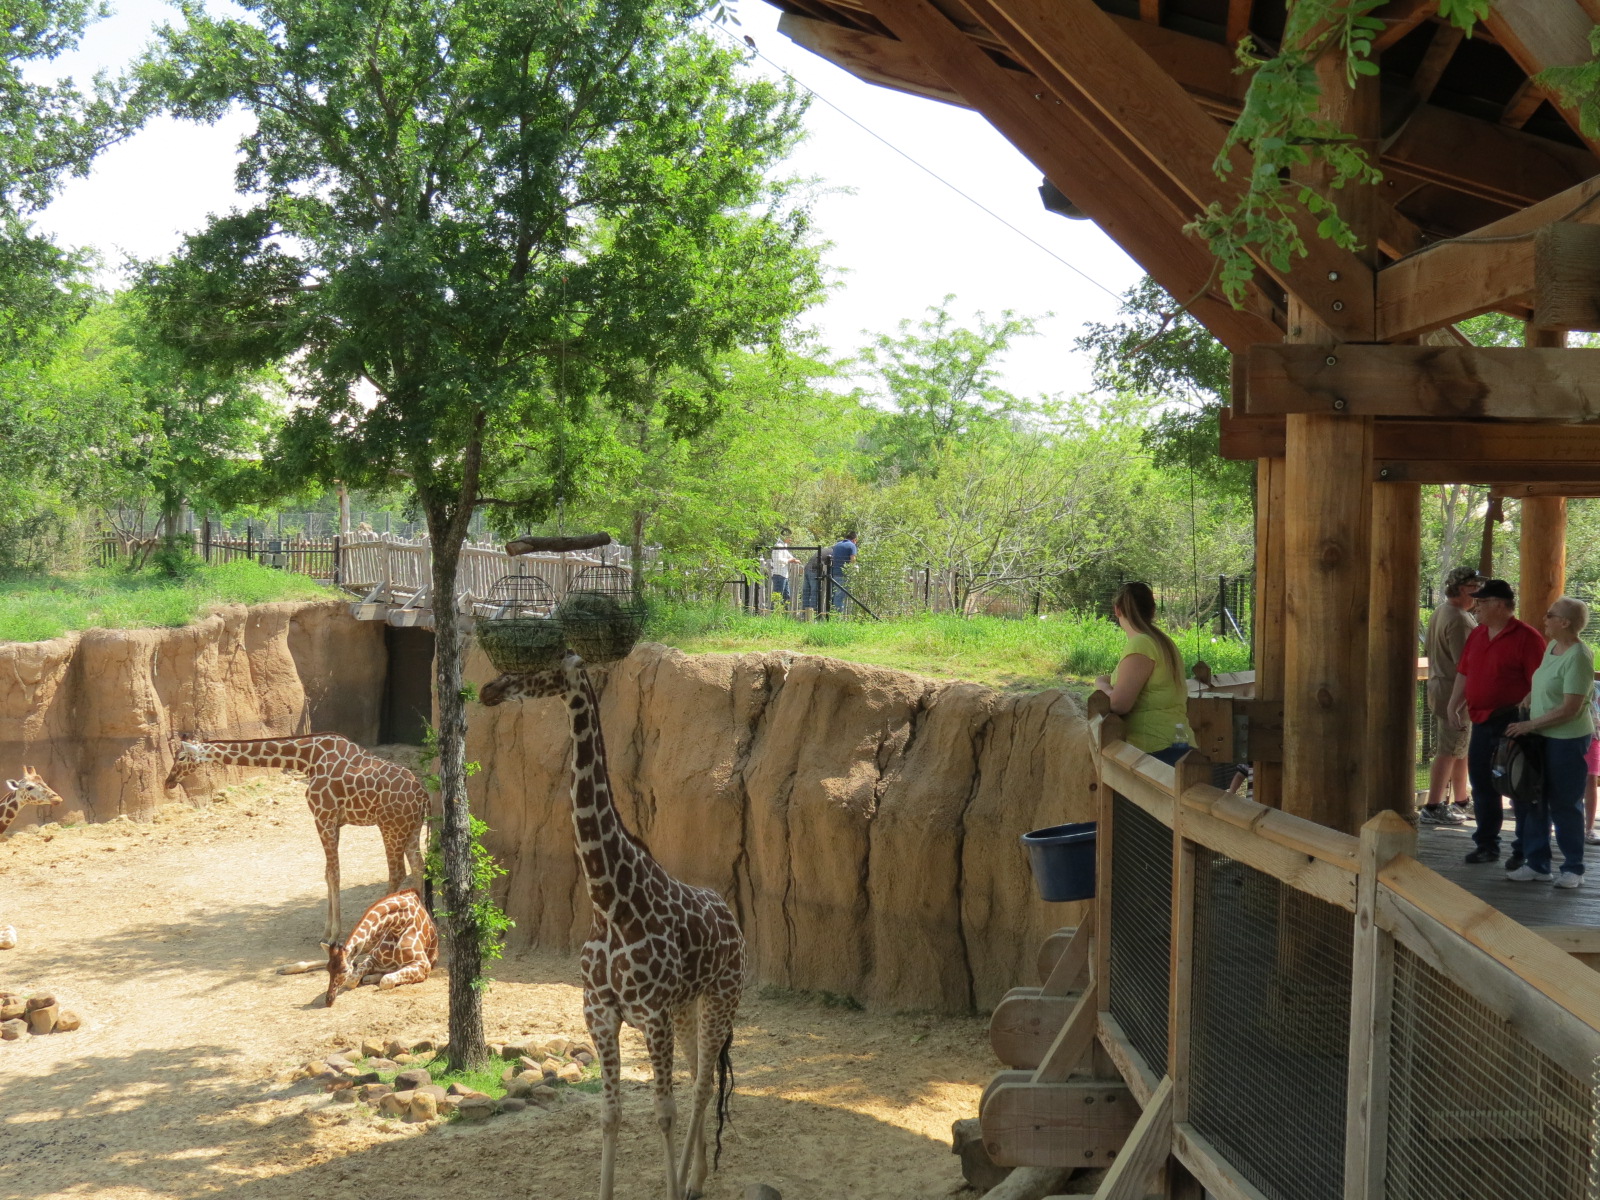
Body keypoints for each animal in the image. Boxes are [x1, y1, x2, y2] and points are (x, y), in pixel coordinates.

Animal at [165, 734, 429, 942]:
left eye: (181, 757)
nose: (168, 782)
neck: (307, 758)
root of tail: (423, 794)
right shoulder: (333, 822)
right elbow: (327, 874)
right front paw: (326, 932)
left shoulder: (323, 817)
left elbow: (334, 874)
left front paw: (333, 935)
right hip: (412, 827)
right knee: (418, 865)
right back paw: (419, 921)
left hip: (390, 826)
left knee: (397, 872)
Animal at [481, 655, 745, 1200]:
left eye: (538, 657)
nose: (488, 689)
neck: (610, 903)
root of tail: (732, 919)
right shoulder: (600, 1014)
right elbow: (610, 1115)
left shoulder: (652, 1014)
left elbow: (663, 1113)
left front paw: (669, 1188)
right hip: (688, 1005)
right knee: (701, 1079)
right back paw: (696, 1180)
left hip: (722, 997)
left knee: (703, 1085)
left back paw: (686, 1182)